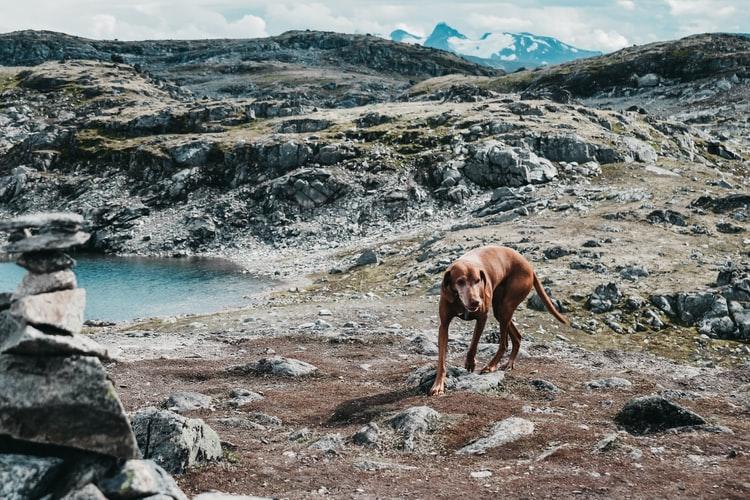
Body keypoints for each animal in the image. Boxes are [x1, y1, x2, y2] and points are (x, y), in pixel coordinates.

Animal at [428, 245, 568, 394]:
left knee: (504, 344)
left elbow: (473, 344)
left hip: (506, 307)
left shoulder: (482, 318)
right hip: (500, 310)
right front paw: (438, 384)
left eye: (477, 280)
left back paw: (491, 365)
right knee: (517, 337)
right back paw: (508, 363)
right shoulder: (444, 325)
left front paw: (470, 362)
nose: (476, 302)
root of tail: (529, 266)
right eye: (460, 282)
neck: (460, 300)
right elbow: (441, 359)